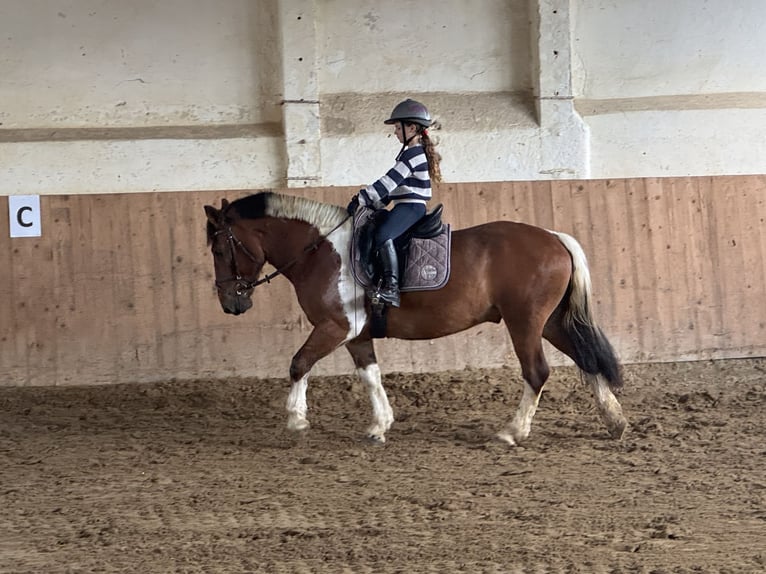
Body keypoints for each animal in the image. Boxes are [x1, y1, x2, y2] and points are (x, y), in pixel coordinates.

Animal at [204, 191, 627, 445]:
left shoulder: (335, 327)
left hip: (524, 322)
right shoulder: (356, 334)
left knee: (537, 372)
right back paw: (615, 422)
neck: (320, 251)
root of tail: (554, 237)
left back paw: (512, 431)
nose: (230, 303)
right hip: (553, 323)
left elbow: (298, 363)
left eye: (220, 250)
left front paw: (296, 420)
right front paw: (380, 425)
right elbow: (370, 376)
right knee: (587, 359)